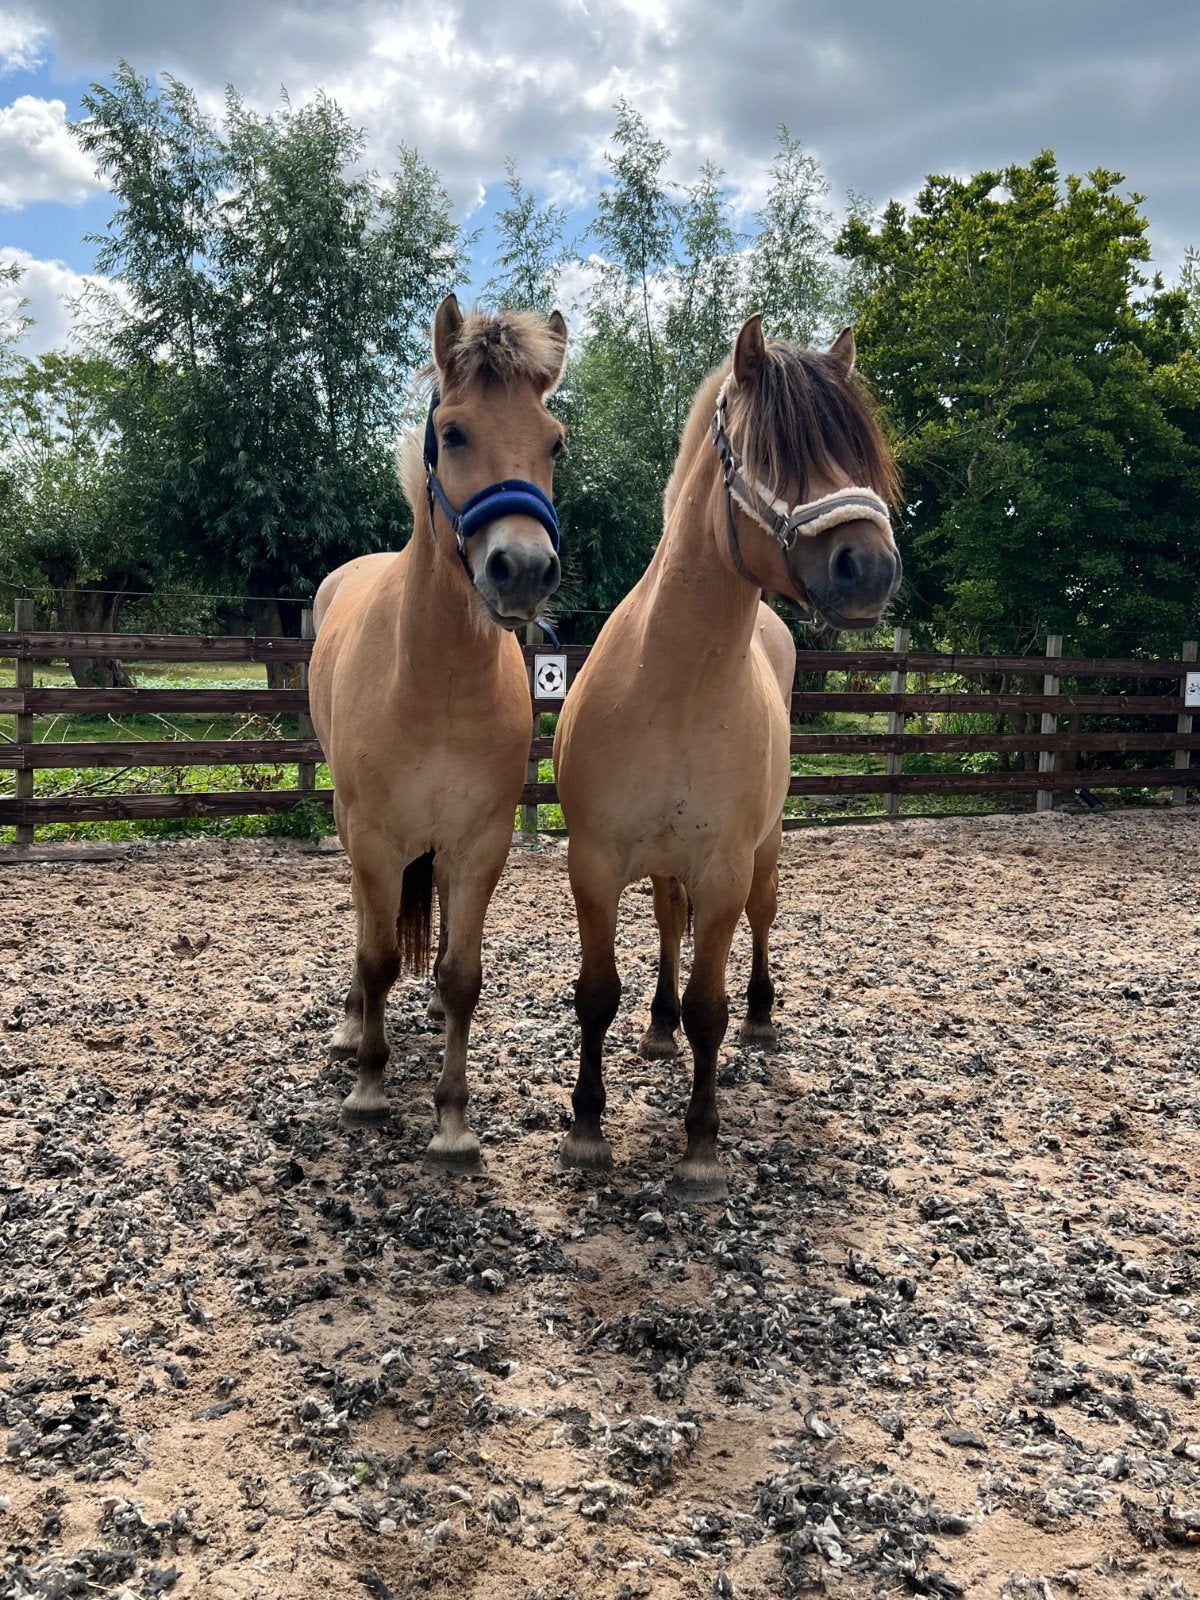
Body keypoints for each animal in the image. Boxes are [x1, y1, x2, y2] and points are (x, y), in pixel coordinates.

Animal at [309, 294, 568, 1162]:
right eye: (453, 432)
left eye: (554, 441)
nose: (523, 570)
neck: (436, 681)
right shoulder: (375, 836)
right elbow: (379, 952)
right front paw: (368, 1084)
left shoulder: (481, 840)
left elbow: (461, 974)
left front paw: (452, 1121)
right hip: (354, 829)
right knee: (367, 927)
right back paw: (352, 1023)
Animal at [553, 315, 901, 1201]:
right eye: (769, 449)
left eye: (860, 448)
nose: (870, 567)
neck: (675, 683)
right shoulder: (595, 863)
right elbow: (596, 993)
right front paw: (587, 1126)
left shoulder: (722, 868)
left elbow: (709, 1000)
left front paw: (703, 1144)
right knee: (664, 928)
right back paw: (658, 1028)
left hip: (763, 854)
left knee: (761, 922)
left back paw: (761, 1015)